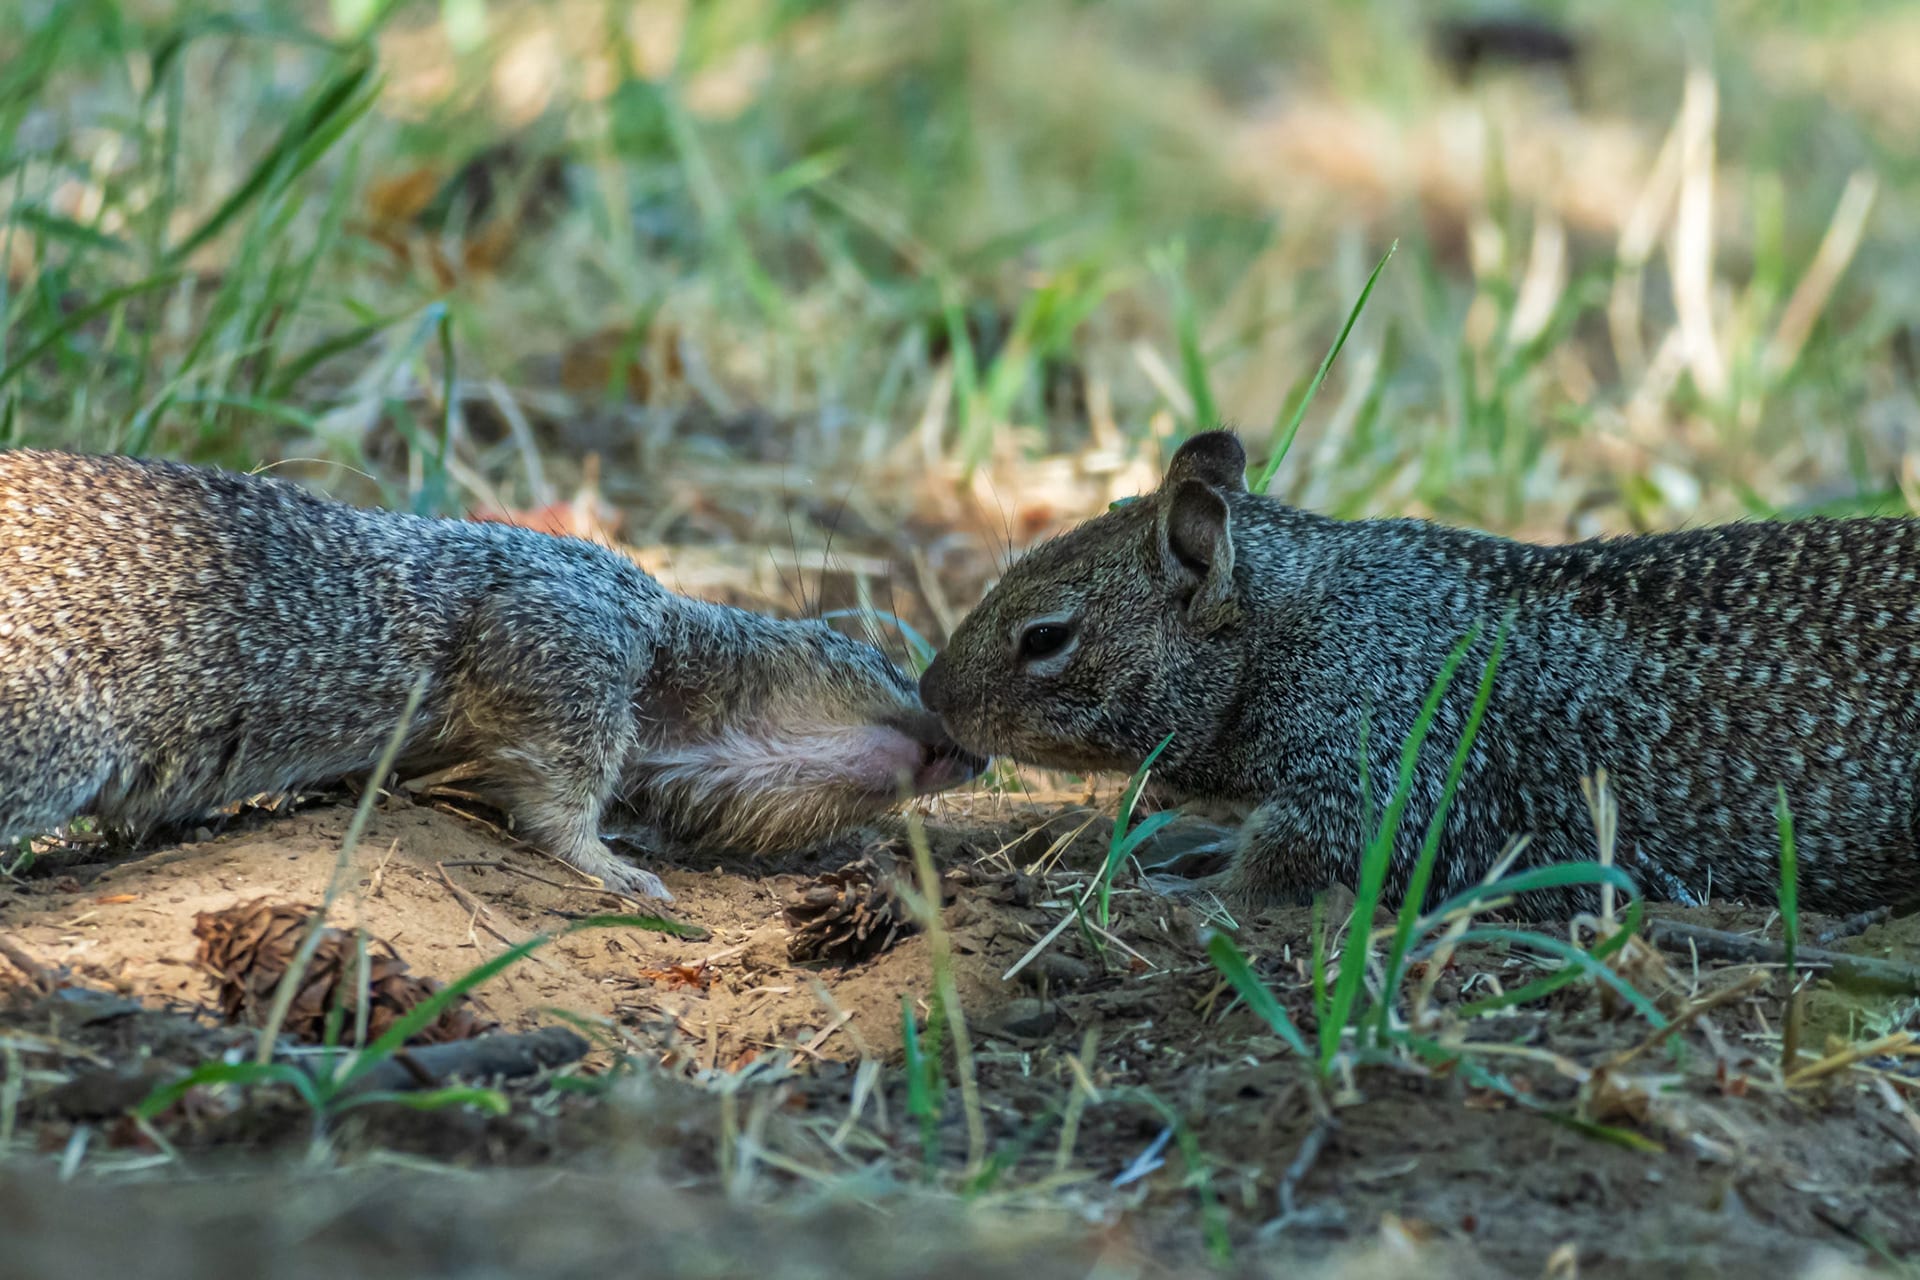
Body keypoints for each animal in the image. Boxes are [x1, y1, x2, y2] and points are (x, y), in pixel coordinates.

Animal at [919, 428, 1920, 921]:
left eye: (1045, 637)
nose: (930, 698)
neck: (1322, 619)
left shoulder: (1385, 771)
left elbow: (1296, 862)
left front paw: (1186, 889)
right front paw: (1179, 847)